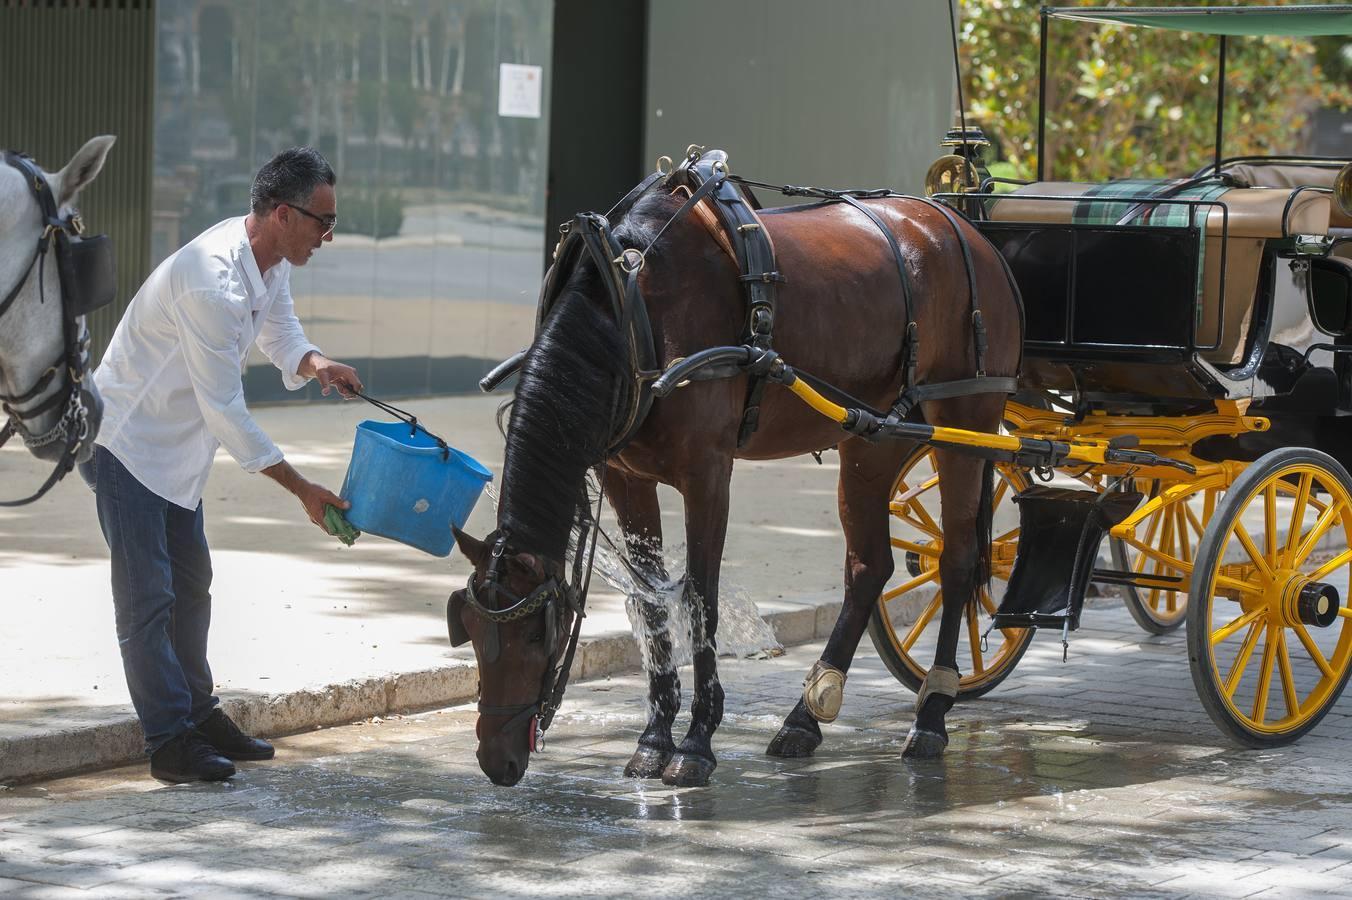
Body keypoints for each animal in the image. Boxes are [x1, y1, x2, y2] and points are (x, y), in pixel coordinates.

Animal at [448, 170, 1016, 783]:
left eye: (537, 632)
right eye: (472, 633)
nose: (497, 760)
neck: (633, 306)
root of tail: (965, 231)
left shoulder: (707, 473)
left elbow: (701, 598)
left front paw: (697, 741)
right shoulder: (625, 477)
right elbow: (651, 600)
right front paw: (654, 736)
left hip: (966, 426)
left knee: (957, 560)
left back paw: (932, 713)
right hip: (875, 439)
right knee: (871, 568)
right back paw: (804, 718)